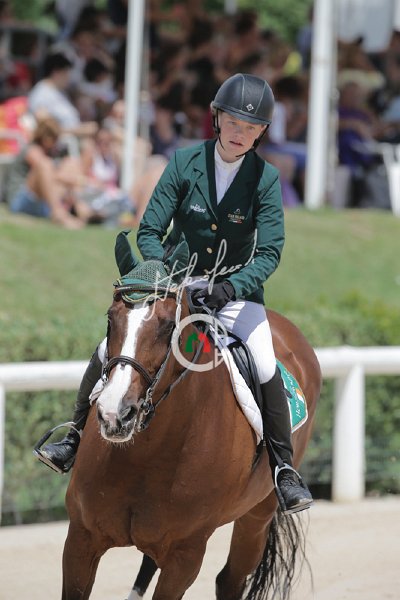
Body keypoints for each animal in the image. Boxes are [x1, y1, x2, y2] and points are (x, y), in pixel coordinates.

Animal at [62, 242, 321, 600]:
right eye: (111, 319)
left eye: (168, 325)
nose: (116, 414)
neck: (145, 453)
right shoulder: (81, 539)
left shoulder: (185, 556)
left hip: (258, 514)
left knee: (229, 580)